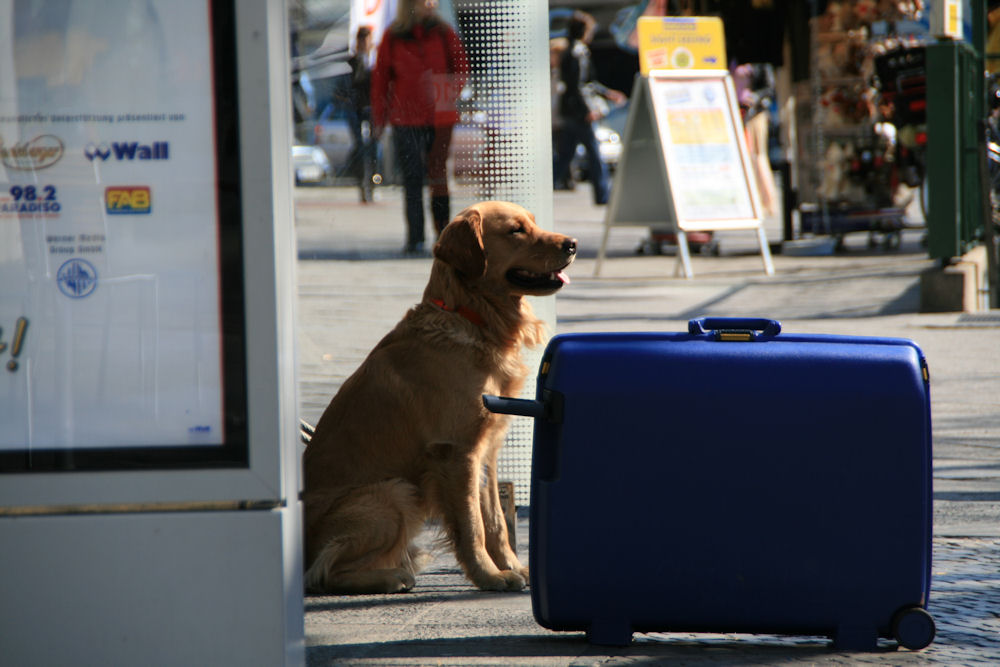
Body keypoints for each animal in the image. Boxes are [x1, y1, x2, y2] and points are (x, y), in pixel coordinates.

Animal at [300, 200, 576, 596]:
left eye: (534, 223)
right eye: (515, 230)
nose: (572, 244)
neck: (475, 319)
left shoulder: (486, 451)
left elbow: (495, 520)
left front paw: (511, 567)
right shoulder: (456, 452)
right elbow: (472, 526)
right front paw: (489, 576)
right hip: (394, 493)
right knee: (321, 573)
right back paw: (391, 576)